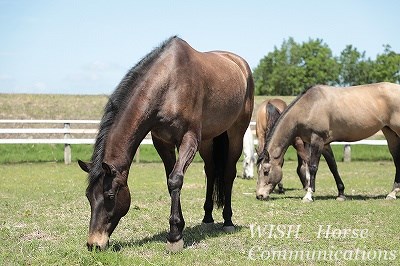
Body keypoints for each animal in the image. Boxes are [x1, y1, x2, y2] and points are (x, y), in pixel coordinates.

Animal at [77, 36, 253, 252]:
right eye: (88, 196)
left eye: (110, 196)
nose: (94, 243)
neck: (169, 85)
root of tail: (240, 64)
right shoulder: (162, 143)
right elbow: (171, 183)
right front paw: (178, 228)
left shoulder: (189, 139)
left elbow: (175, 179)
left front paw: (175, 236)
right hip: (208, 140)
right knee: (211, 171)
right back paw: (207, 218)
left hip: (236, 133)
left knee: (228, 173)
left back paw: (228, 221)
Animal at [256, 83, 400, 202]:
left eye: (266, 171)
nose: (259, 195)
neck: (309, 107)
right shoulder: (324, 145)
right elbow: (333, 166)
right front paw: (341, 194)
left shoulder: (317, 140)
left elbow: (312, 166)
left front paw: (308, 195)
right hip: (390, 133)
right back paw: (392, 193)